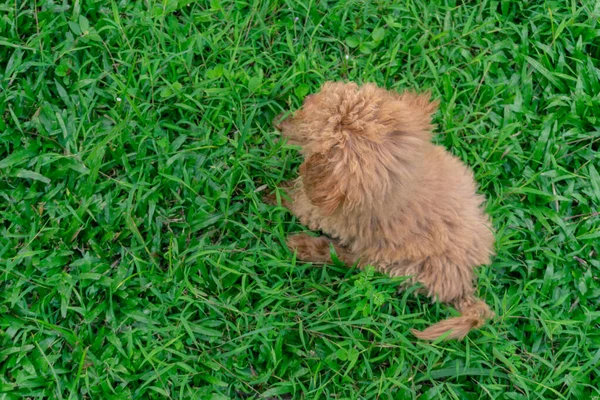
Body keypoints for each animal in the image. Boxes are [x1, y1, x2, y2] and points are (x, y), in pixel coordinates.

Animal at [268, 82, 492, 340]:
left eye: (307, 134)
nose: (277, 122)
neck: (399, 184)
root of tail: (463, 284)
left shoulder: (322, 211)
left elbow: (295, 200)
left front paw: (267, 193)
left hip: (391, 263)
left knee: (353, 260)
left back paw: (305, 246)